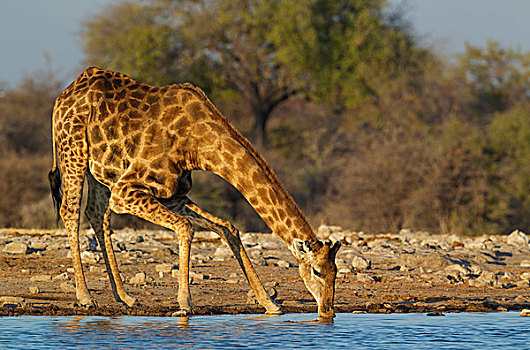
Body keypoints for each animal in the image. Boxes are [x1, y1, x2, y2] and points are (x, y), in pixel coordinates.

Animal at [48, 66, 338, 318]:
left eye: (336, 272)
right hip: (73, 152)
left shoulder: (173, 194)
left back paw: (125, 297)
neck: (198, 146)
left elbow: (227, 227)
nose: (328, 311)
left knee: (96, 214)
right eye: (317, 271)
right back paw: (85, 297)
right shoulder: (126, 189)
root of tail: (62, 97)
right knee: (70, 211)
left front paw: (270, 303)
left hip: (100, 169)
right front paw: (185, 304)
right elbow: (186, 227)